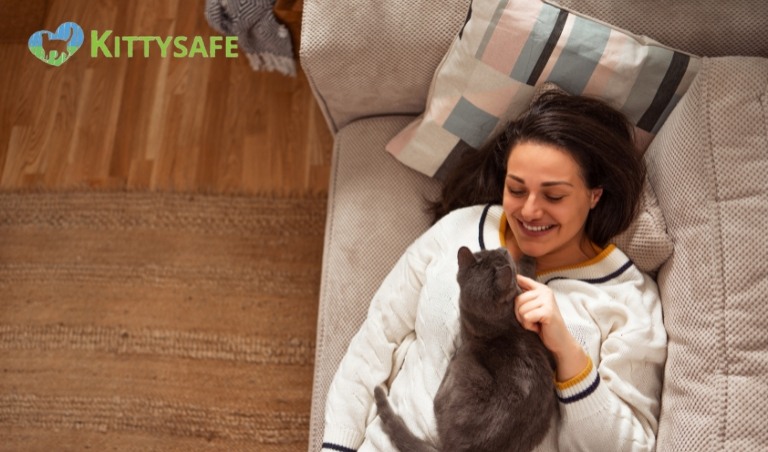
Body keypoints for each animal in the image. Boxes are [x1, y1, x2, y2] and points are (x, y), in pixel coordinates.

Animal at [376, 247, 556, 452]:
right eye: (498, 255)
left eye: (488, 251)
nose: (504, 248)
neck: (492, 325)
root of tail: (454, 448)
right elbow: (525, 276)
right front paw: (528, 258)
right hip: (465, 369)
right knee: (437, 401)